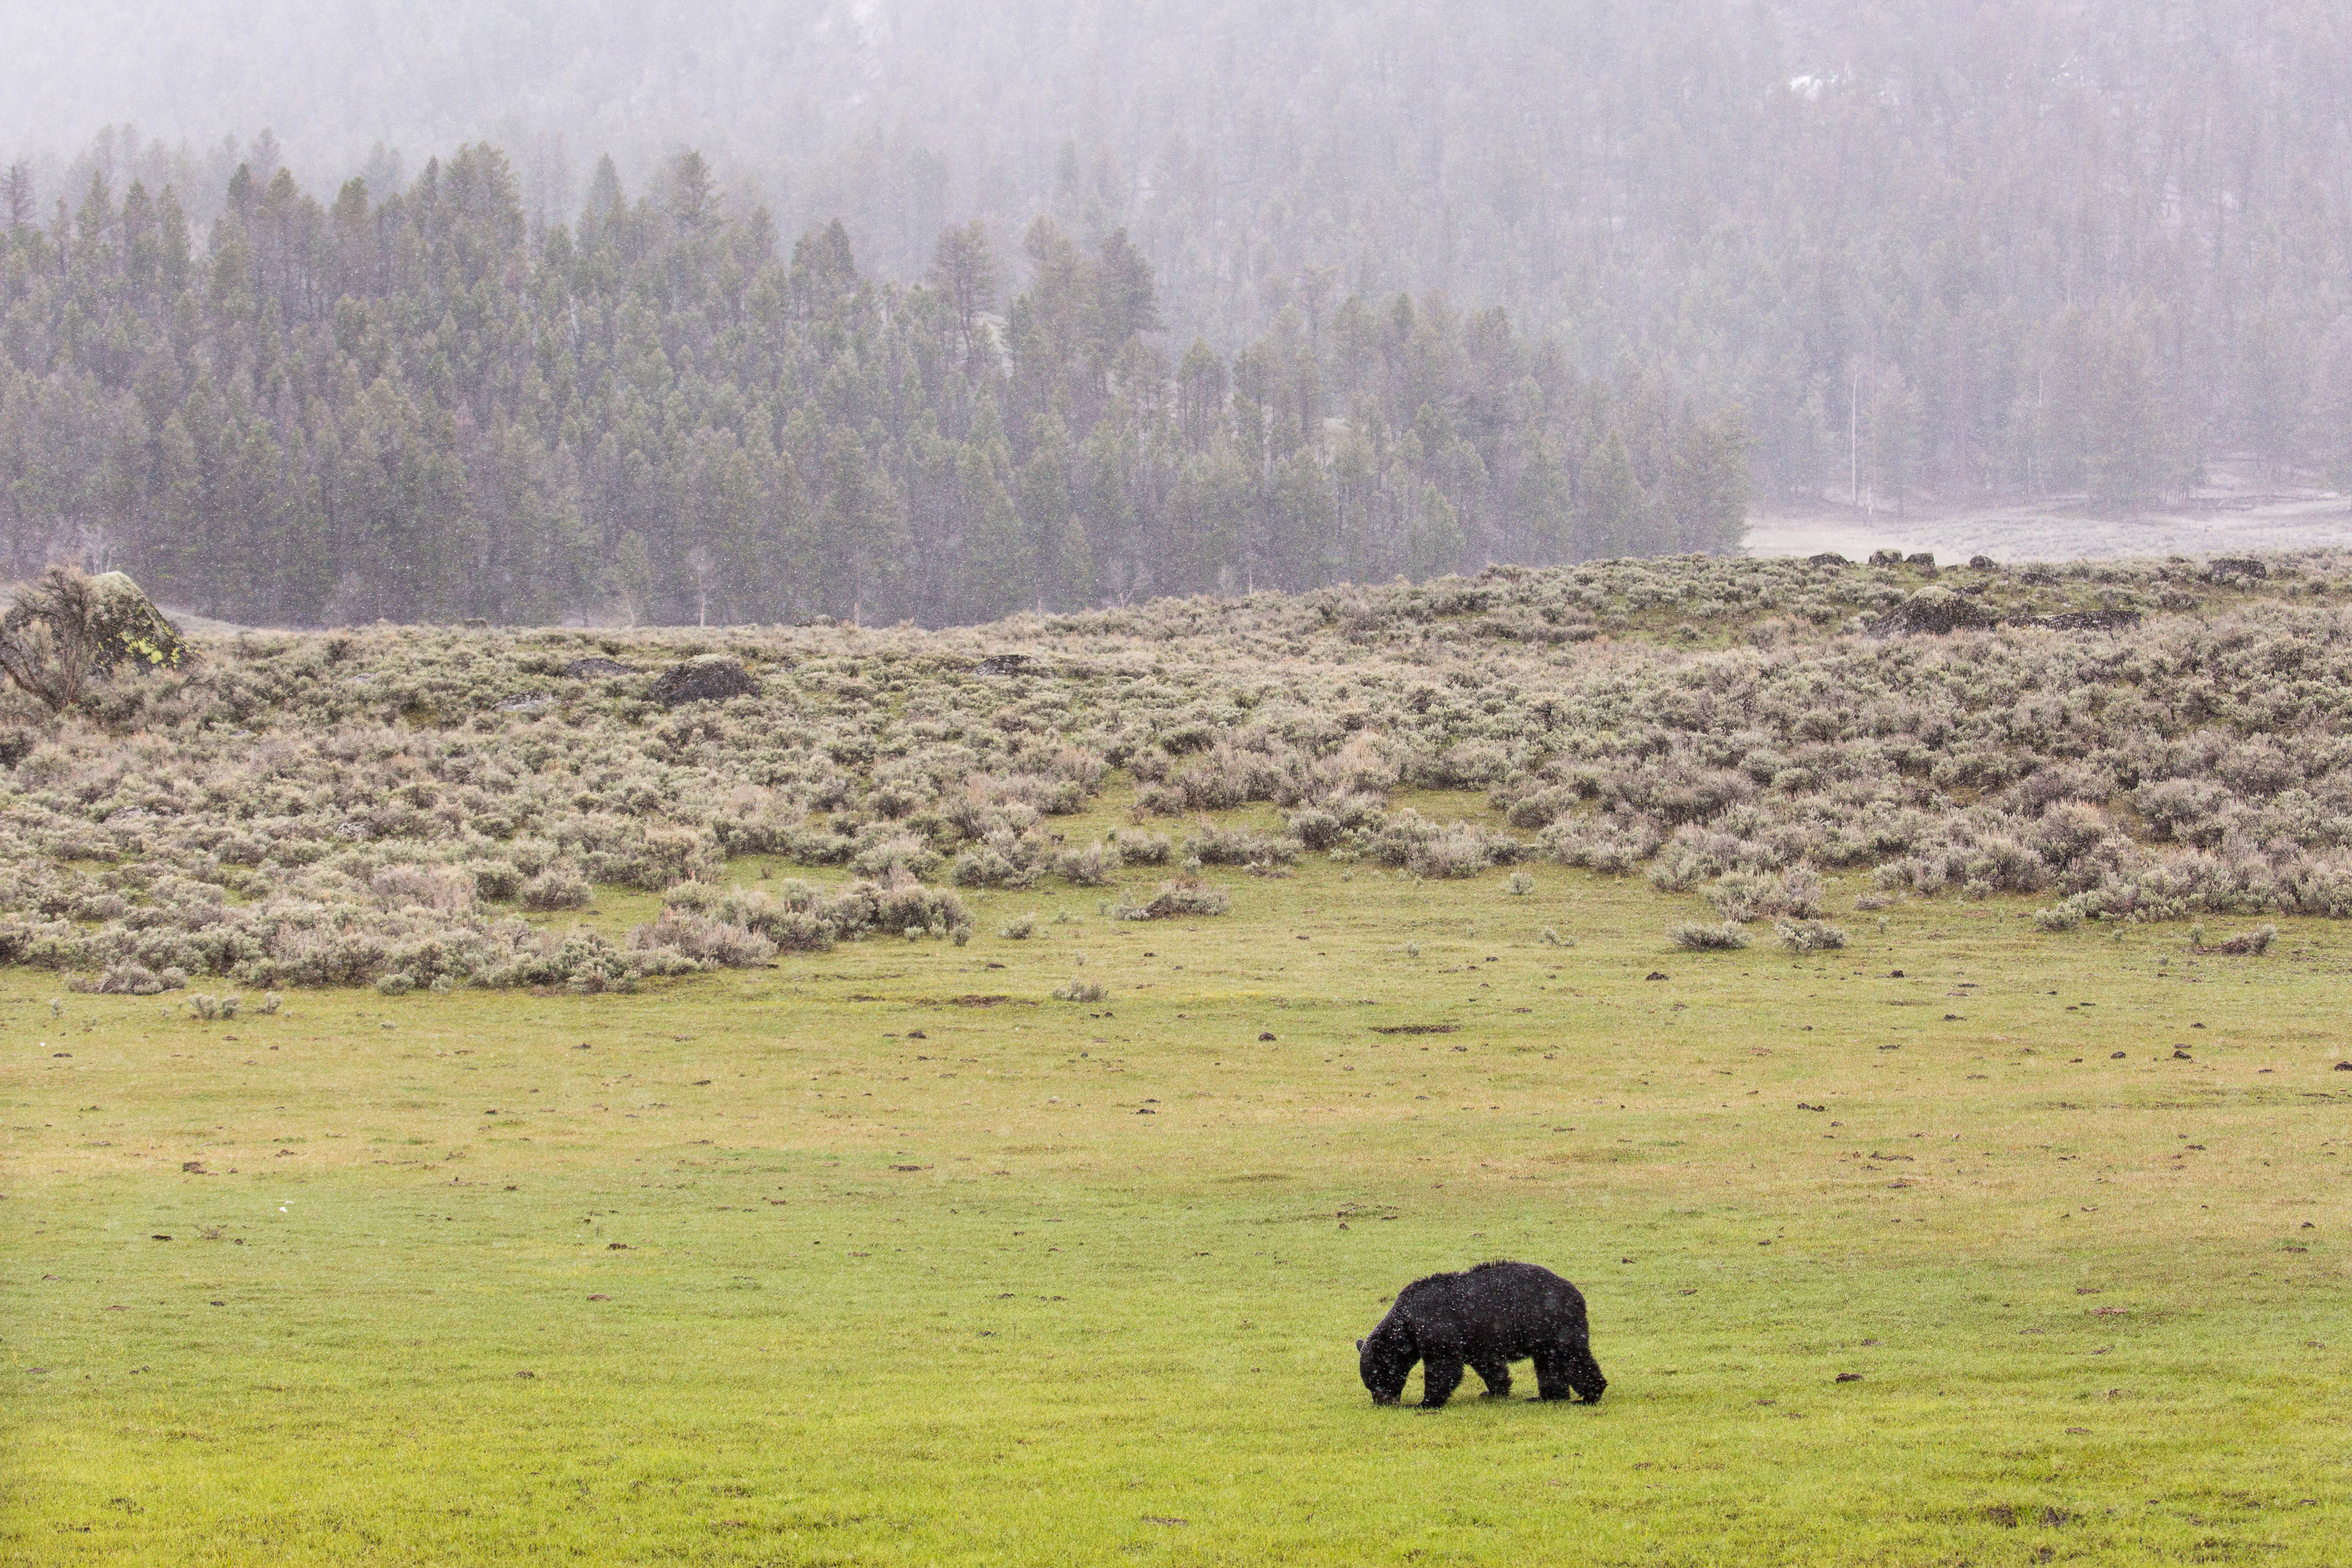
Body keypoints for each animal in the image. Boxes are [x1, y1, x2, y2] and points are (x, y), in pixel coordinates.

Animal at [1356, 1259, 1606, 1408]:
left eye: (1378, 1379)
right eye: (1370, 1383)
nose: (1383, 1402)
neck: (1407, 1321)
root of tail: (1577, 1295)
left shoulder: (1437, 1325)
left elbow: (1443, 1365)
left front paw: (1425, 1402)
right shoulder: (1475, 1338)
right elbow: (1488, 1365)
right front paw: (1495, 1391)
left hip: (1556, 1324)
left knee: (1574, 1357)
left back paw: (1589, 1396)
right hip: (1545, 1337)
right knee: (1549, 1363)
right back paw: (1545, 1397)